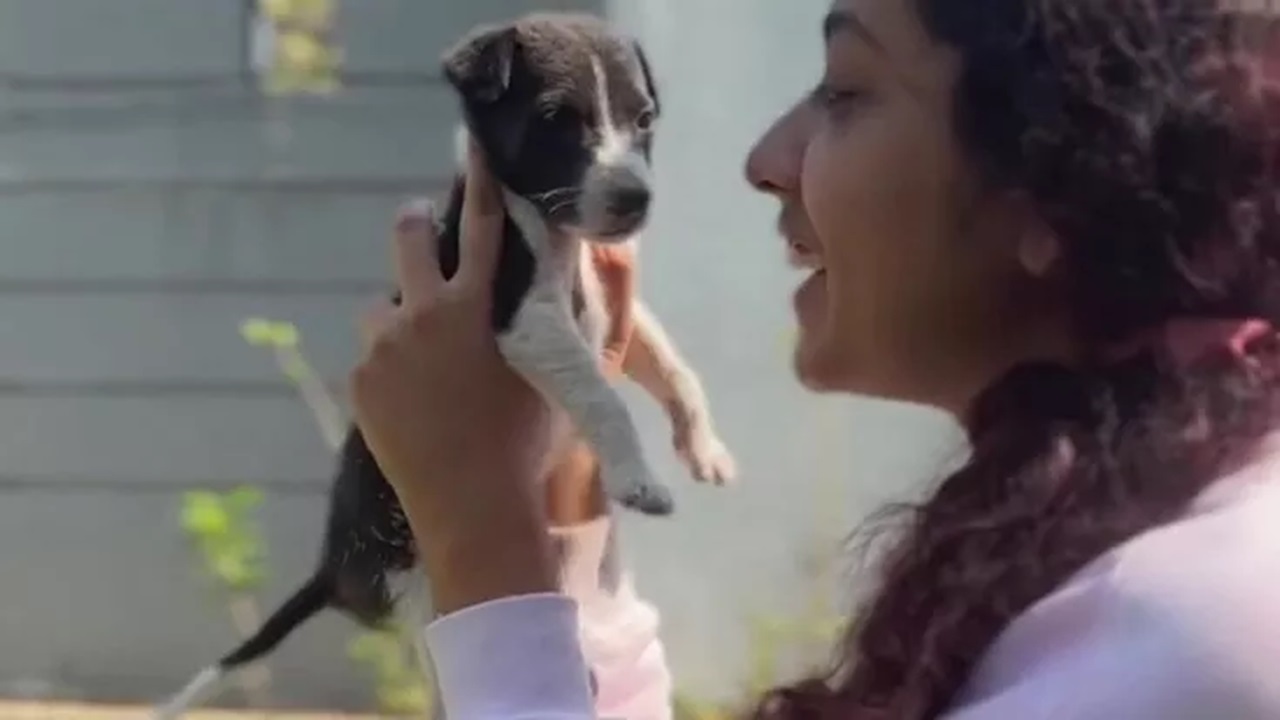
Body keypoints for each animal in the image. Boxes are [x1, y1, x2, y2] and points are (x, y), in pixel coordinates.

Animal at [149, 12, 737, 717]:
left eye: (644, 119)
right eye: (556, 118)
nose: (635, 199)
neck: (552, 233)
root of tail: (332, 569)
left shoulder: (617, 313)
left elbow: (675, 367)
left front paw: (704, 447)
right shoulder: (526, 322)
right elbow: (605, 395)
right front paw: (638, 478)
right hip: (420, 587)